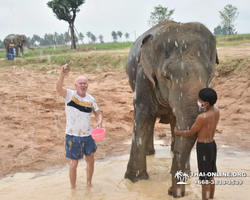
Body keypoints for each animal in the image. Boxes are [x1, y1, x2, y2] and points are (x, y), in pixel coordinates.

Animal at [125, 20, 219, 197]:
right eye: (167, 77)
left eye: (210, 74)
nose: (170, 191)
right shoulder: (143, 77)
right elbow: (143, 116)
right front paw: (134, 181)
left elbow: (178, 121)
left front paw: (186, 174)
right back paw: (150, 153)